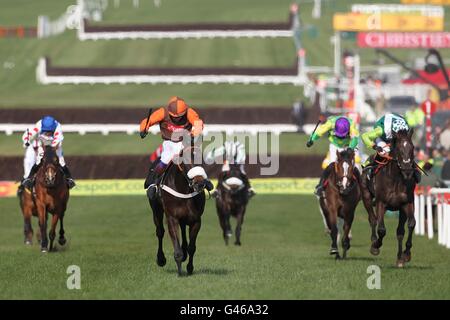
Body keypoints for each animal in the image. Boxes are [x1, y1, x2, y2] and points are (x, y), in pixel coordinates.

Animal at [149, 145, 208, 276]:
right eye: (185, 160)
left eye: (201, 159)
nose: (199, 183)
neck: (184, 189)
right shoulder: (171, 218)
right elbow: (177, 248)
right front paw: (180, 272)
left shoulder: (196, 220)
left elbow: (192, 247)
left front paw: (189, 268)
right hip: (156, 210)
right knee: (160, 232)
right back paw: (161, 259)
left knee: (183, 230)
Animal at [360, 129, 416, 266]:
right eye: (399, 148)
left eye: (412, 147)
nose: (407, 170)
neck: (396, 179)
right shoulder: (381, 203)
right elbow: (381, 229)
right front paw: (376, 246)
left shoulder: (407, 203)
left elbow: (410, 224)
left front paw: (406, 254)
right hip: (366, 196)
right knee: (373, 219)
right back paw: (374, 241)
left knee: (400, 231)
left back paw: (400, 258)